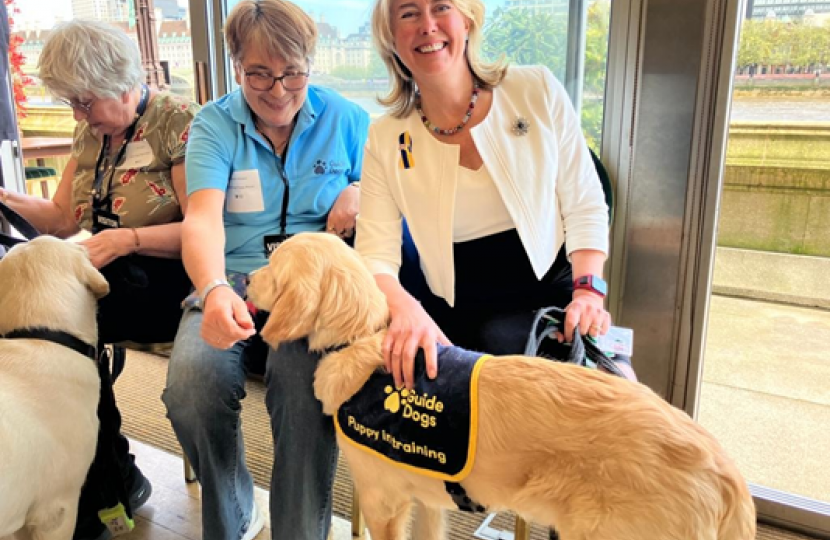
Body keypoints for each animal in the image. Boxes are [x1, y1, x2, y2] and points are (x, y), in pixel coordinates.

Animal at [249, 232, 760, 540]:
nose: (247, 278)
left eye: (272, 264)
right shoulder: (428, 499)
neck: (362, 338)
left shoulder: (382, 499)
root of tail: (726, 473)